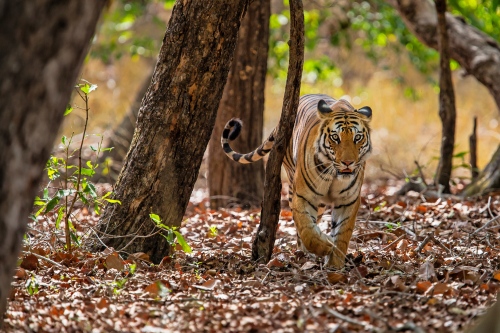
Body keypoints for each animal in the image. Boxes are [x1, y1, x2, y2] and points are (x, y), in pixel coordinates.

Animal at [222, 93, 372, 268]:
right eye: (335, 138)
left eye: (357, 138)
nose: (348, 162)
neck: (335, 174)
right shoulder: (303, 195)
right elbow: (306, 229)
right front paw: (326, 245)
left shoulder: (348, 200)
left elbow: (342, 234)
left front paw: (334, 265)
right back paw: (305, 252)